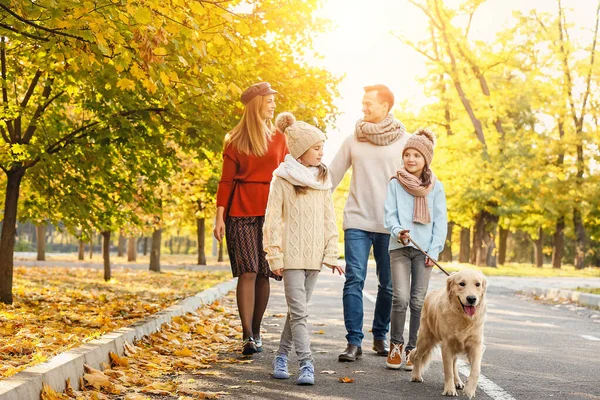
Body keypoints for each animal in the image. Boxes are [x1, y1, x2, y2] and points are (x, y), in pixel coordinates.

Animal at [408, 268, 488, 396]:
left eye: (478, 284)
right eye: (462, 284)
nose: (471, 299)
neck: (463, 318)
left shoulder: (475, 345)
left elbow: (476, 370)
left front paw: (469, 390)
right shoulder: (447, 345)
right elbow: (448, 370)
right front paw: (450, 390)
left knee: (454, 363)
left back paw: (458, 382)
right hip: (425, 339)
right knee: (417, 356)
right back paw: (416, 376)